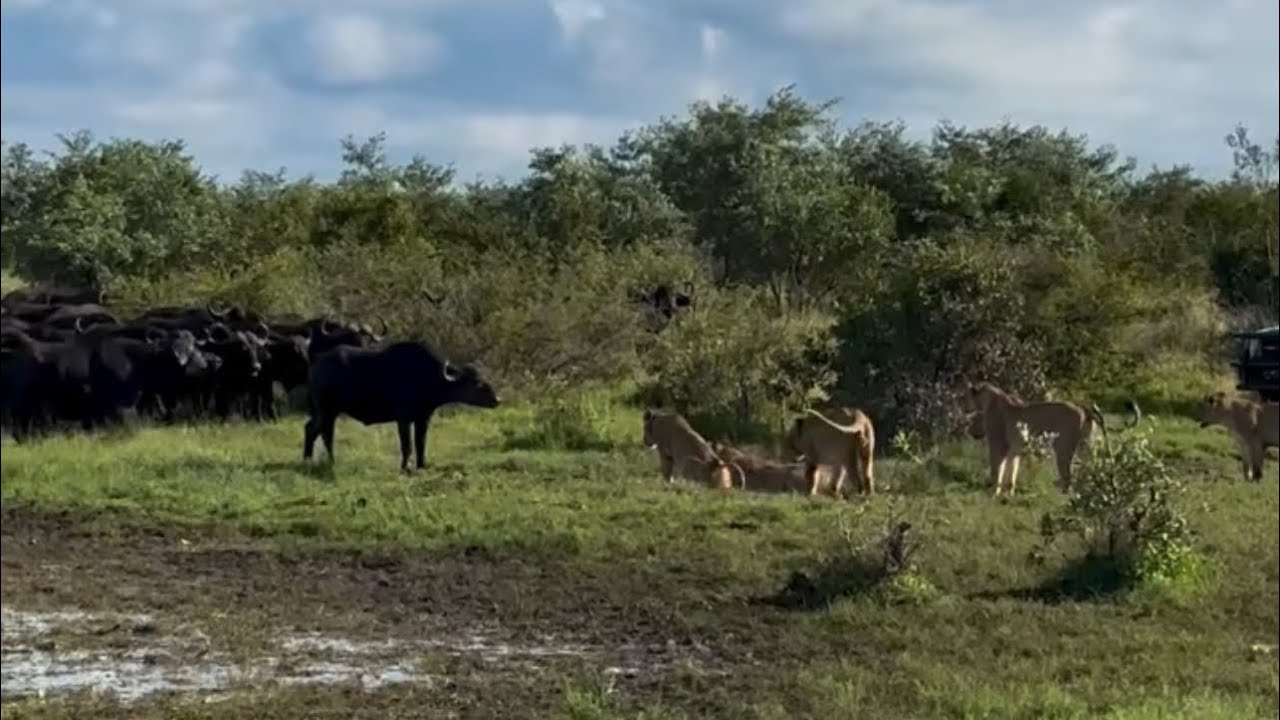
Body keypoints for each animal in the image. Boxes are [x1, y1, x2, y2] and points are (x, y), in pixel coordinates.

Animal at [965, 381, 1141, 496]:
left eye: (974, 421)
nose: (970, 431)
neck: (990, 399)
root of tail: (1082, 406)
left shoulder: (998, 447)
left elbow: (997, 470)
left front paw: (993, 492)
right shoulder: (1014, 451)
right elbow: (1012, 471)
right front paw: (1009, 493)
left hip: (1063, 448)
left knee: (1068, 477)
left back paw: (1064, 498)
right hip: (1086, 447)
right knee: (1090, 469)